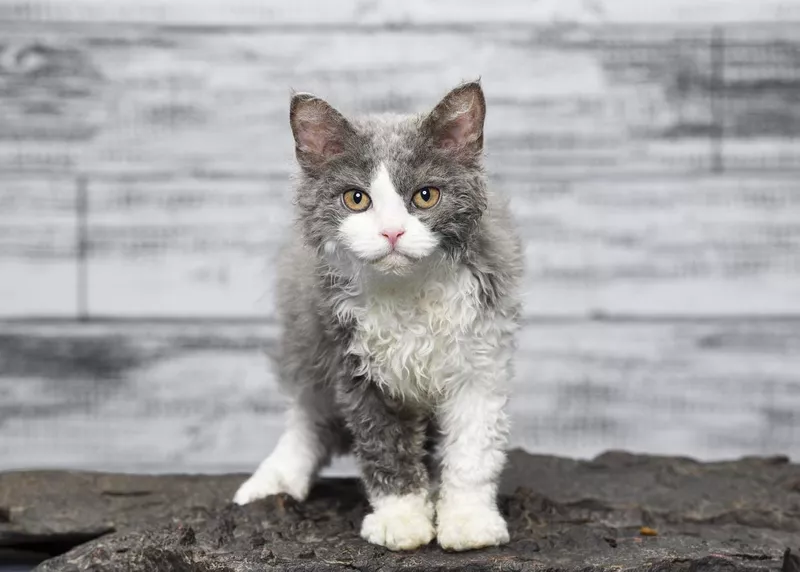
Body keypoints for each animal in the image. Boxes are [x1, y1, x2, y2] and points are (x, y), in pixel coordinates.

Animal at [234, 79, 524, 548]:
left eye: (426, 196)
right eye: (356, 199)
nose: (392, 232)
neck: (409, 292)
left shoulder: (481, 358)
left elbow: (473, 449)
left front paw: (468, 519)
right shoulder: (354, 362)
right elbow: (383, 446)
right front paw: (401, 518)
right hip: (305, 337)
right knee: (309, 415)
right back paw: (274, 478)